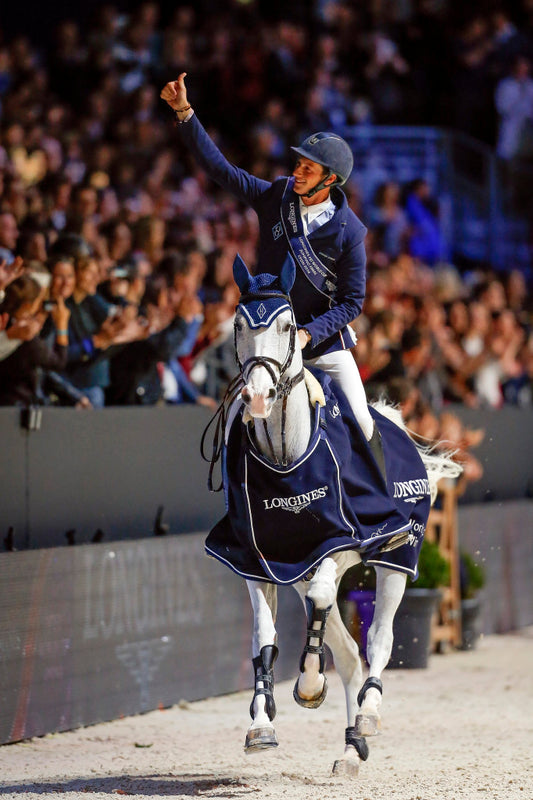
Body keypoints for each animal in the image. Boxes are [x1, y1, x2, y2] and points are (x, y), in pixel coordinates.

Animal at [202, 255, 460, 776]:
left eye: (288, 326)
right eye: (238, 324)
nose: (257, 395)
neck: (285, 453)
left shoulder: (339, 545)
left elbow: (325, 602)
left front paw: (307, 684)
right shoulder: (256, 560)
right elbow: (264, 634)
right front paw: (262, 722)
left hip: (397, 560)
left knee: (377, 641)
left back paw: (367, 717)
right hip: (299, 572)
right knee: (349, 655)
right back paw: (350, 749)